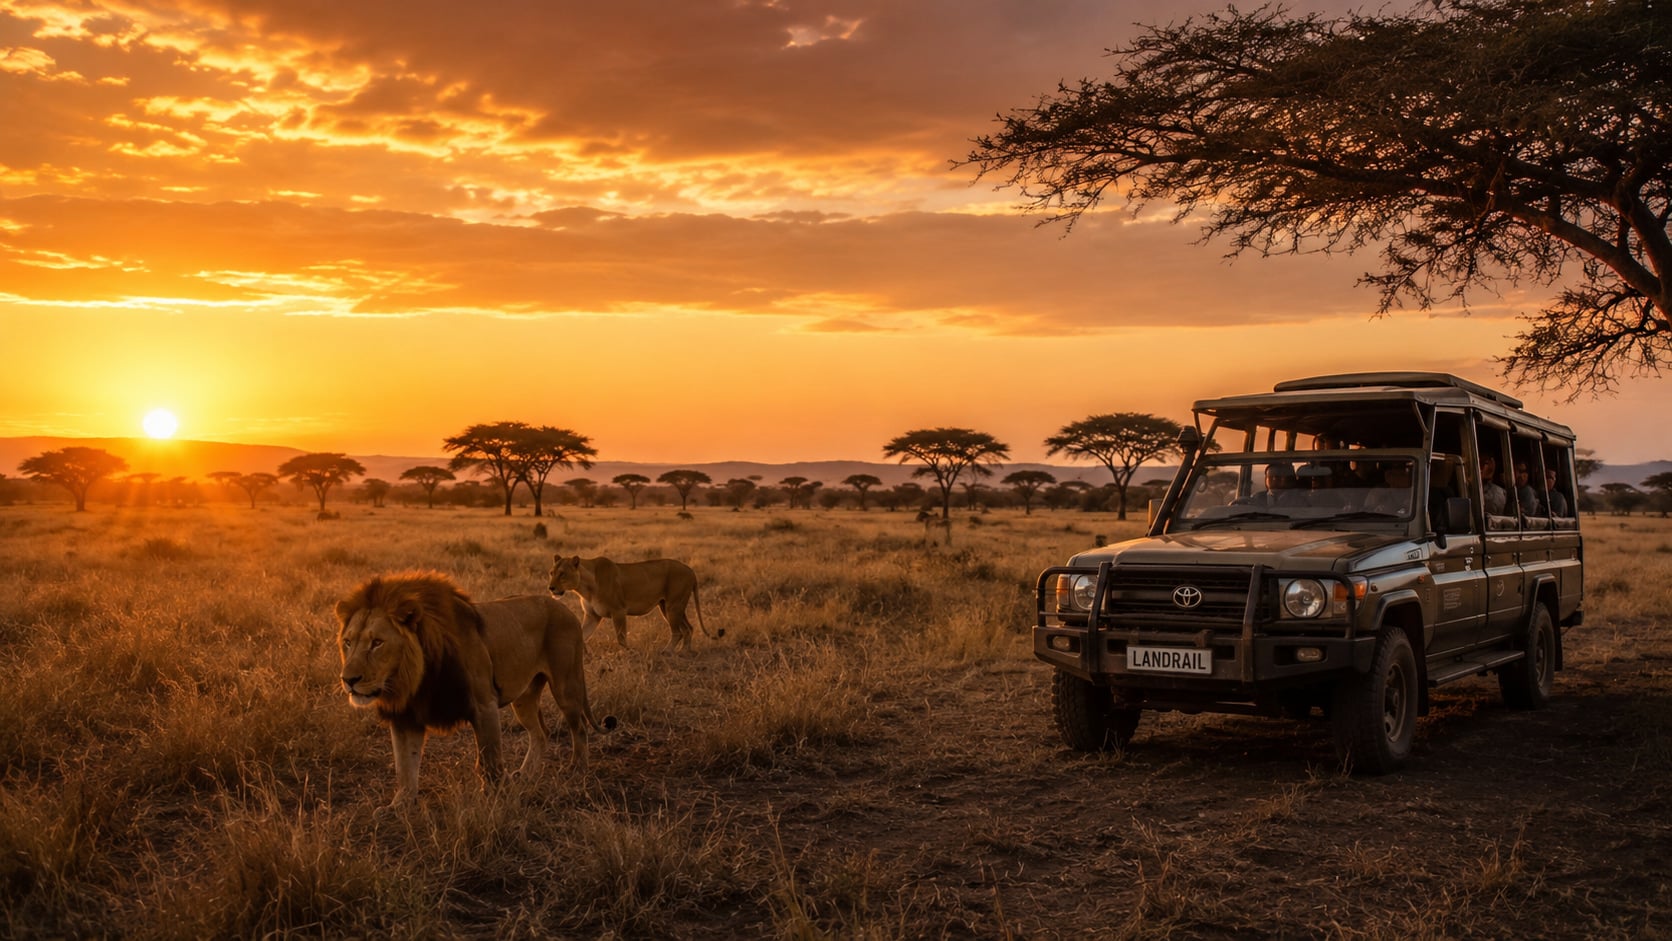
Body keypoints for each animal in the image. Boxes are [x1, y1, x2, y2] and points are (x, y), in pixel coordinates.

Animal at [335, 571, 613, 804]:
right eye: (348, 642)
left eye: (377, 643)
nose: (348, 680)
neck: (416, 679)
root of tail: (566, 610)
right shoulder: (406, 715)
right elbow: (405, 765)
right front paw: (399, 805)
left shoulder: (483, 704)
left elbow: (490, 759)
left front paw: (495, 798)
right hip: (524, 697)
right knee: (540, 733)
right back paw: (525, 774)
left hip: (566, 685)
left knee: (579, 728)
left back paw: (576, 768)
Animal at [548, 555, 723, 652]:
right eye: (551, 573)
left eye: (562, 574)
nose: (551, 588)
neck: (584, 587)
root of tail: (691, 570)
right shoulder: (592, 616)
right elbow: (582, 635)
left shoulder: (618, 611)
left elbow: (621, 637)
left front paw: (628, 653)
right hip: (669, 606)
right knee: (688, 629)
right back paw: (684, 652)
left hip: (674, 606)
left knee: (678, 632)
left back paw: (667, 652)